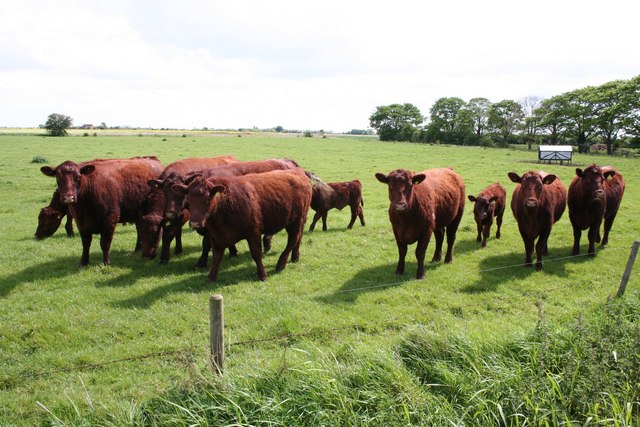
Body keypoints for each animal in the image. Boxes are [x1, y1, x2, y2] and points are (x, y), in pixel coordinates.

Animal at [169, 169, 312, 282]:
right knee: (298, 239)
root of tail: (299, 172)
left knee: (293, 239)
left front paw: (262, 275)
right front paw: (211, 277)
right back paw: (295, 257)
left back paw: (281, 264)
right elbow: (216, 257)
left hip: (296, 220)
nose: (195, 223)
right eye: (189, 199)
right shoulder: (215, 236)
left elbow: (256, 254)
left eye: (207, 198)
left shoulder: (254, 233)